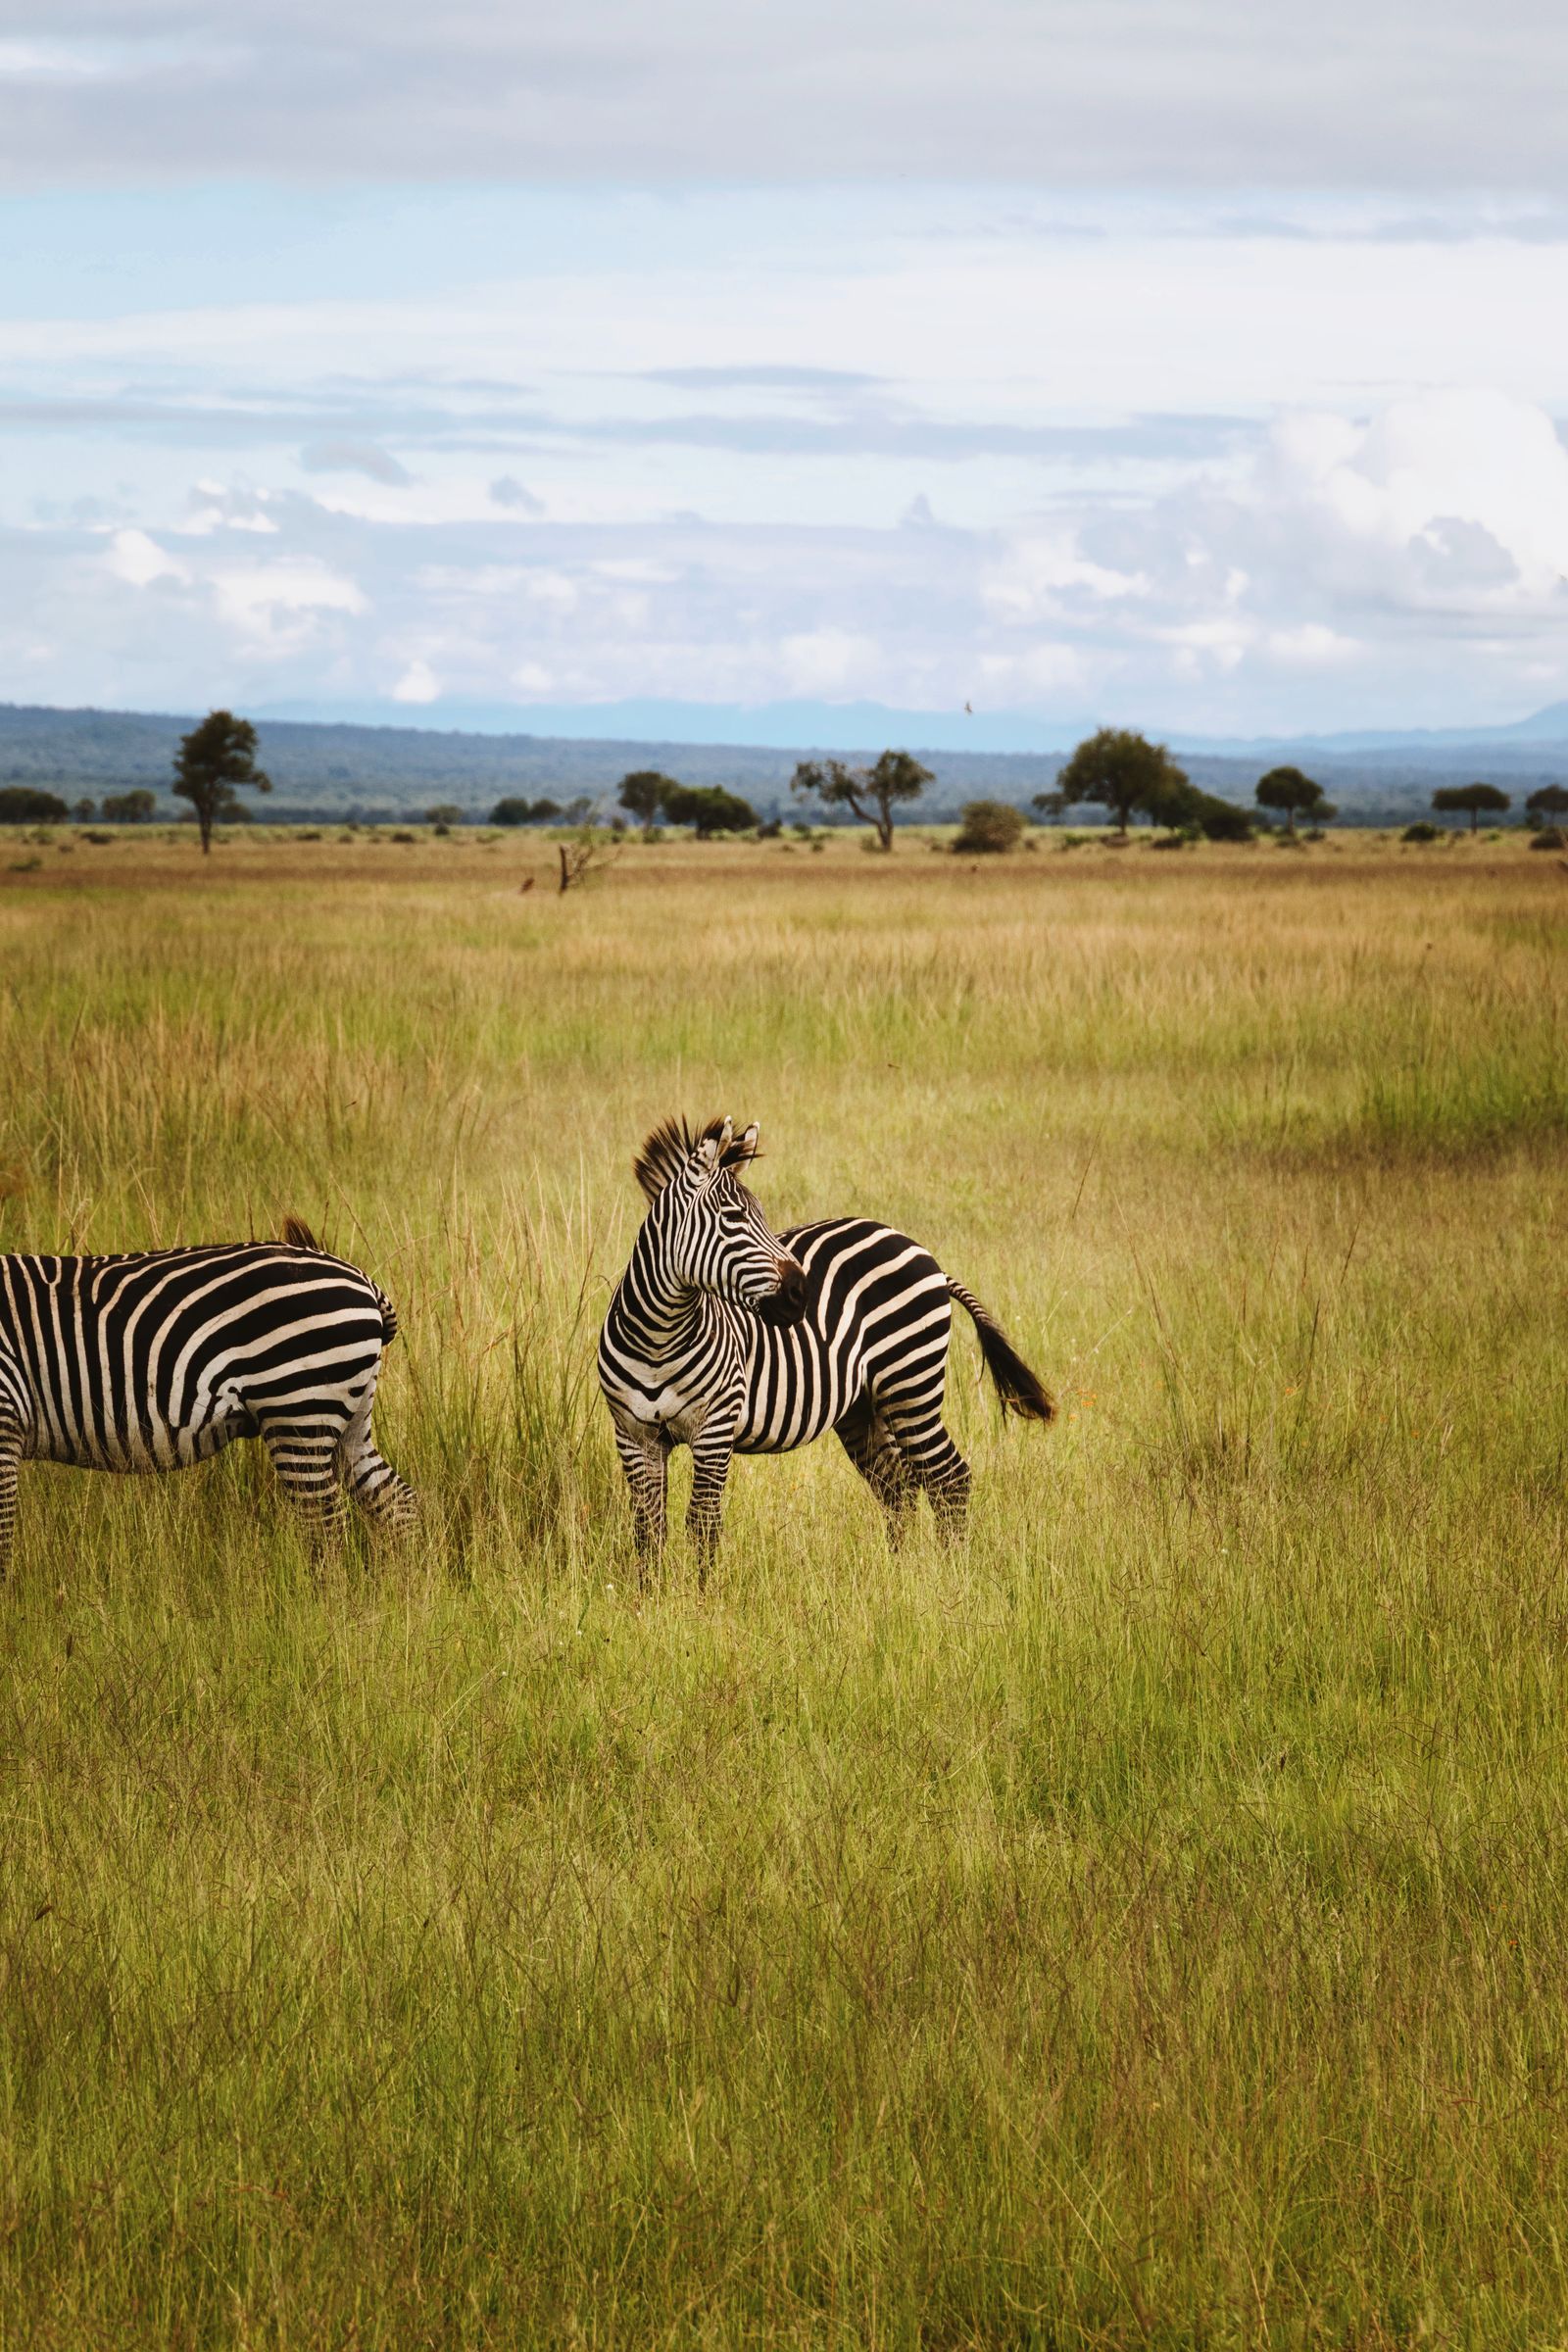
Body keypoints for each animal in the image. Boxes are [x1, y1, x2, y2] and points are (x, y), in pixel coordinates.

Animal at [0, 1217, 416, 1568]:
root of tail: (362, 1280)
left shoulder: (5, 1420)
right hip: (348, 1415)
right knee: (397, 1502)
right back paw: (404, 1592)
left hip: (298, 1409)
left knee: (325, 1526)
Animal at [598, 1114, 1053, 1575]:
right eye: (732, 1217)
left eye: (762, 1215)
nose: (802, 1292)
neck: (658, 1339)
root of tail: (917, 1248)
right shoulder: (634, 1436)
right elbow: (648, 1529)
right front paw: (651, 1592)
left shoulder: (715, 1428)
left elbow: (703, 1523)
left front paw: (701, 1594)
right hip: (864, 1408)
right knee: (898, 1488)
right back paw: (898, 1575)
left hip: (910, 1387)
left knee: (948, 1478)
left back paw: (951, 1572)